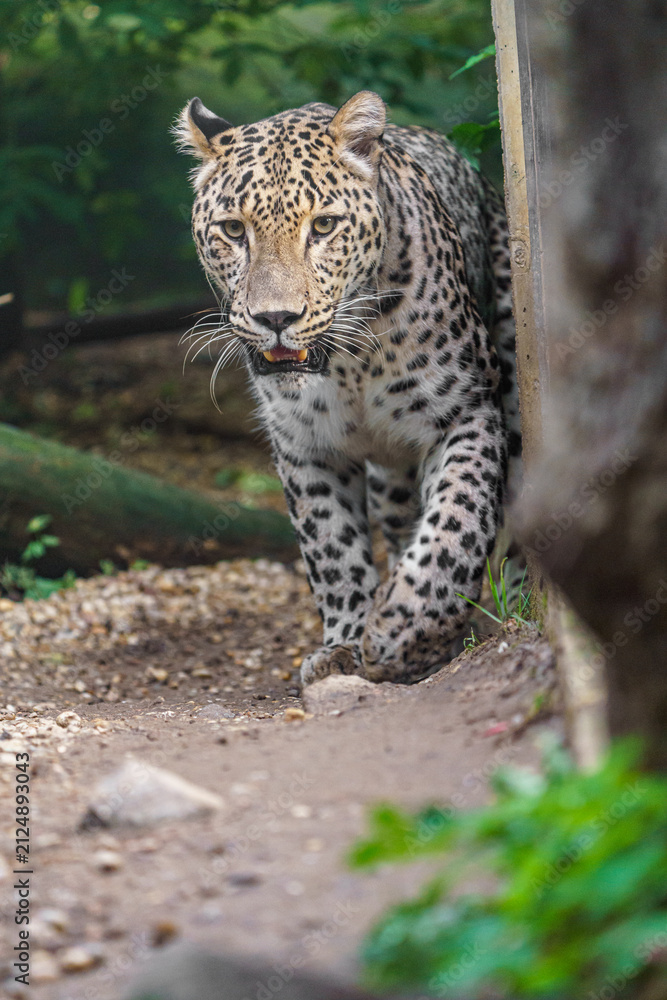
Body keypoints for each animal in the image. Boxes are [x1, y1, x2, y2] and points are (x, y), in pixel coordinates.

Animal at [175, 90, 520, 686]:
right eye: (234, 231)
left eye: (325, 226)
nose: (275, 318)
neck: (349, 364)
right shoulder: (304, 446)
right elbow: (332, 548)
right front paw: (344, 643)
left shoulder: (468, 410)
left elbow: (458, 521)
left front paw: (402, 625)